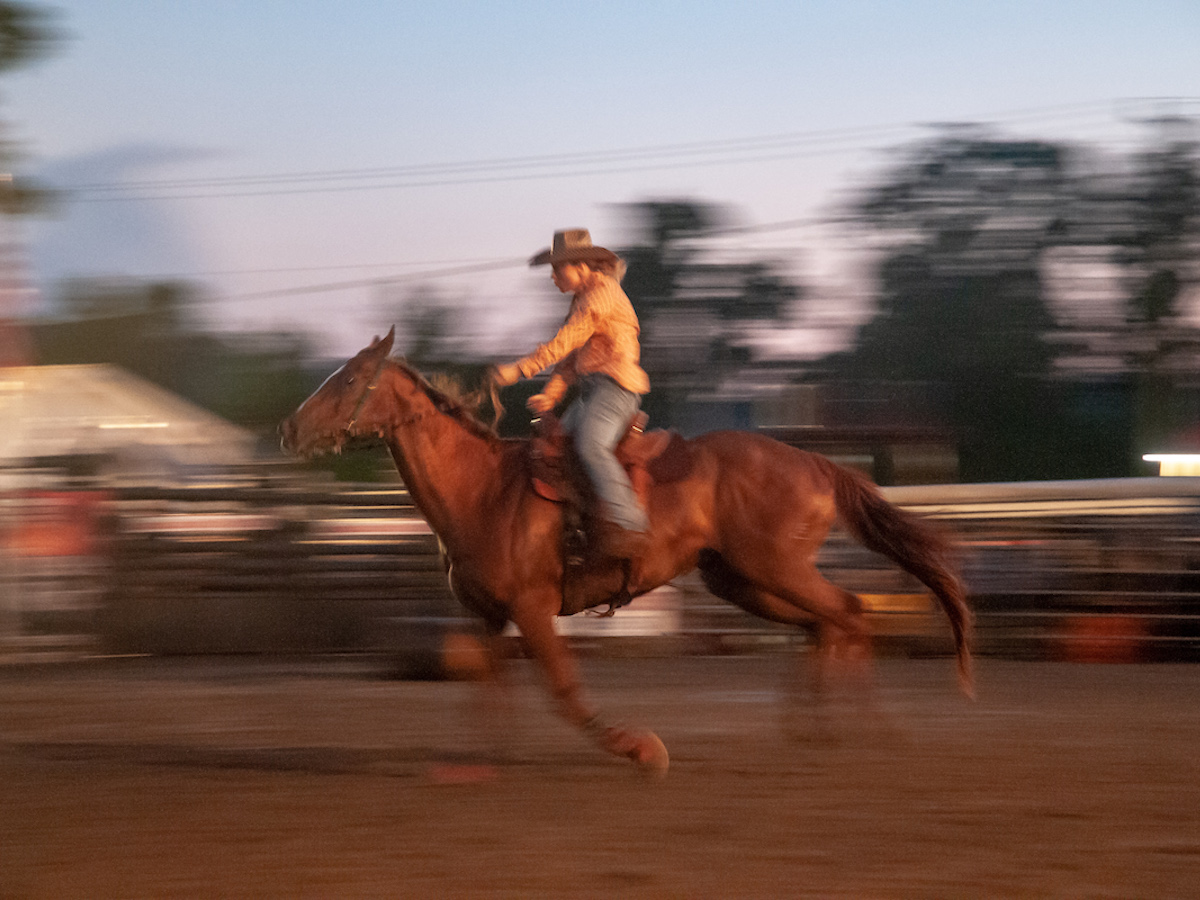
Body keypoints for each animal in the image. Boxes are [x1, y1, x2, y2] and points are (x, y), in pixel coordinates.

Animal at [280, 328, 974, 777]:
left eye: (348, 378)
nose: (288, 428)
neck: (484, 489)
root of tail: (816, 462)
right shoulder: (489, 615)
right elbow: (489, 686)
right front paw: (478, 761)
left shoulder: (533, 609)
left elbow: (563, 689)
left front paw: (640, 749)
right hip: (742, 581)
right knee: (825, 624)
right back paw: (814, 729)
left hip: (773, 569)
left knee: (849, 612)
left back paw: (868, 733)